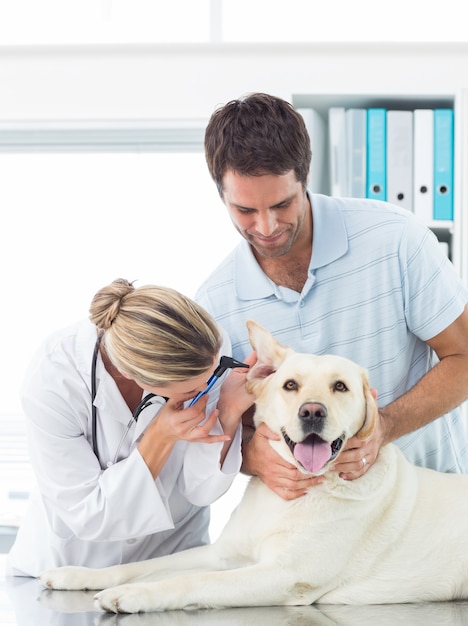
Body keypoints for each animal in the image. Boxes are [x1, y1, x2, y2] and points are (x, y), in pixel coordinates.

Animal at [38, 322, 468, 608]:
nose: (313, 412)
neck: (292, 496)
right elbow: (149, 564)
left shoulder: (284, 575)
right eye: (290, 385)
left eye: (340, 387)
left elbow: (191, 581)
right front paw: (79, 575)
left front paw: (134, 595)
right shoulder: (222, 553)